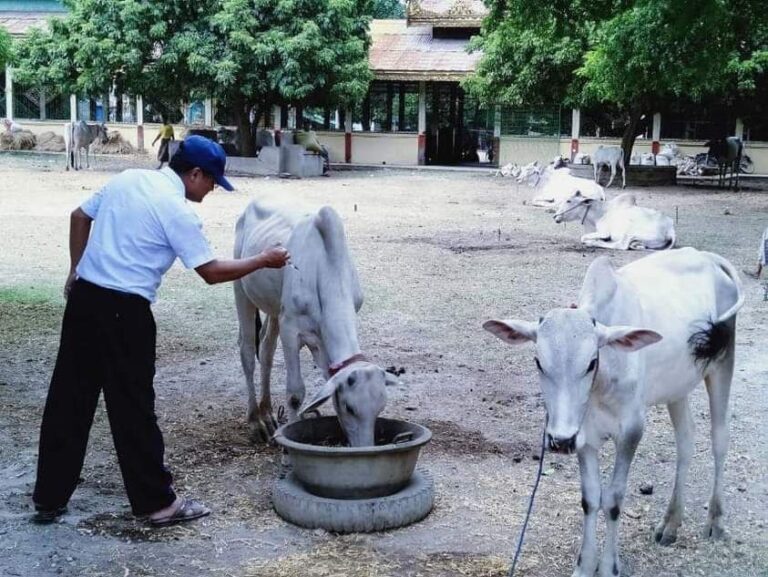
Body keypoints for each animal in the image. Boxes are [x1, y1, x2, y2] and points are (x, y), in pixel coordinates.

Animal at [486, 250, 744, 576]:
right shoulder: (583, 436)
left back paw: (716, 520)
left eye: (591, 363)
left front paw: (608, 566)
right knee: (686, 441)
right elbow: (590, 498)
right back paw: (670, 524)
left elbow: (613, 499)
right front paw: (585, 565)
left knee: (720, 440)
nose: (560, 441)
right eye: (538, 362)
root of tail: (706, 256)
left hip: (722, 361)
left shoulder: (631, 430)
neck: (602, 383)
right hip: (678, 387)